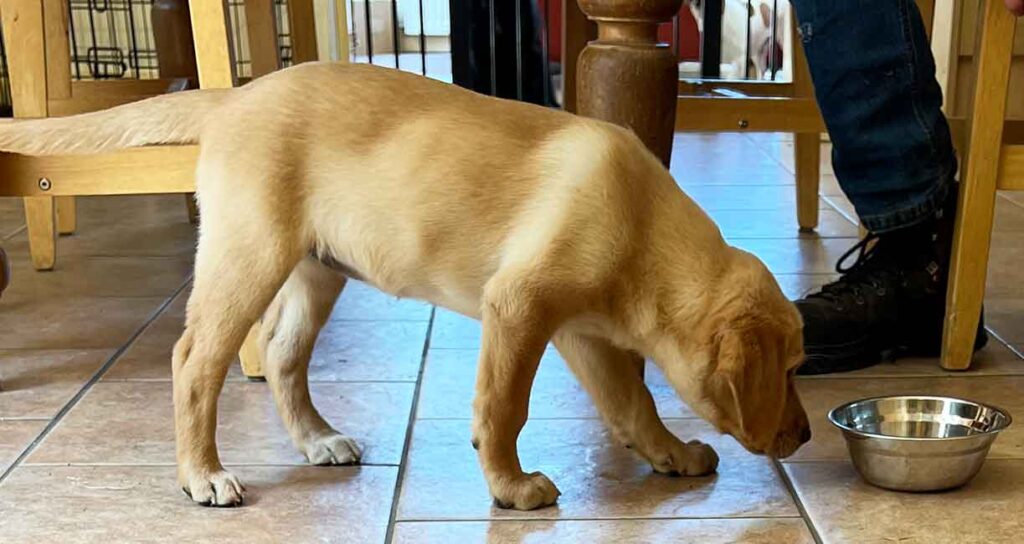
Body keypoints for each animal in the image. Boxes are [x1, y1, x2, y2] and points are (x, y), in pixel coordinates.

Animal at [2, 62, 815, 510]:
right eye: (790, 369)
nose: (806, 436)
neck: (645, 231)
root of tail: (232, 98)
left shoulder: (582, 333)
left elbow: (633, 403)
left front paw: (671, 453)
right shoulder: (518, 307)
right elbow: (504, 407)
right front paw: (511, 487)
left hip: (316, 269)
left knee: (283, 357)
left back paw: (318, 439)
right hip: (250, 252)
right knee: (196, 360)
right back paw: (201, 475)